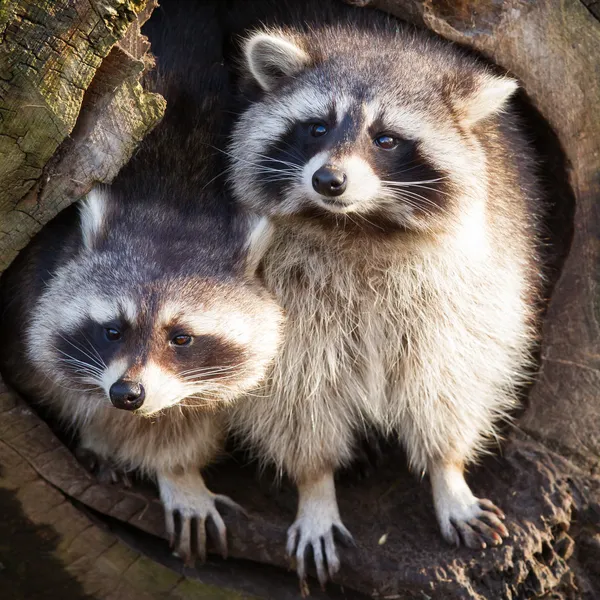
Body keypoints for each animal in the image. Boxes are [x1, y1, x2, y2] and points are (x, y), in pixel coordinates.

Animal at [0, 0, 284, 564]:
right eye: (112, 329)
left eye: (182, 338)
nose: (127, 393)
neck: (175, 199)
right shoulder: (29, 291)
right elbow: (53, 381)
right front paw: (99, 438)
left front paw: (180, 472)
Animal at [224, 0, 544, 584]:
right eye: (317, 127)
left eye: (386, 139)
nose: (329, 181)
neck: (359, 226)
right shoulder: (280, 293)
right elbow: (291, 391)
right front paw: (315, 485)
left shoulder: (478, 275)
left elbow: (453, 376)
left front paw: (448, 471)